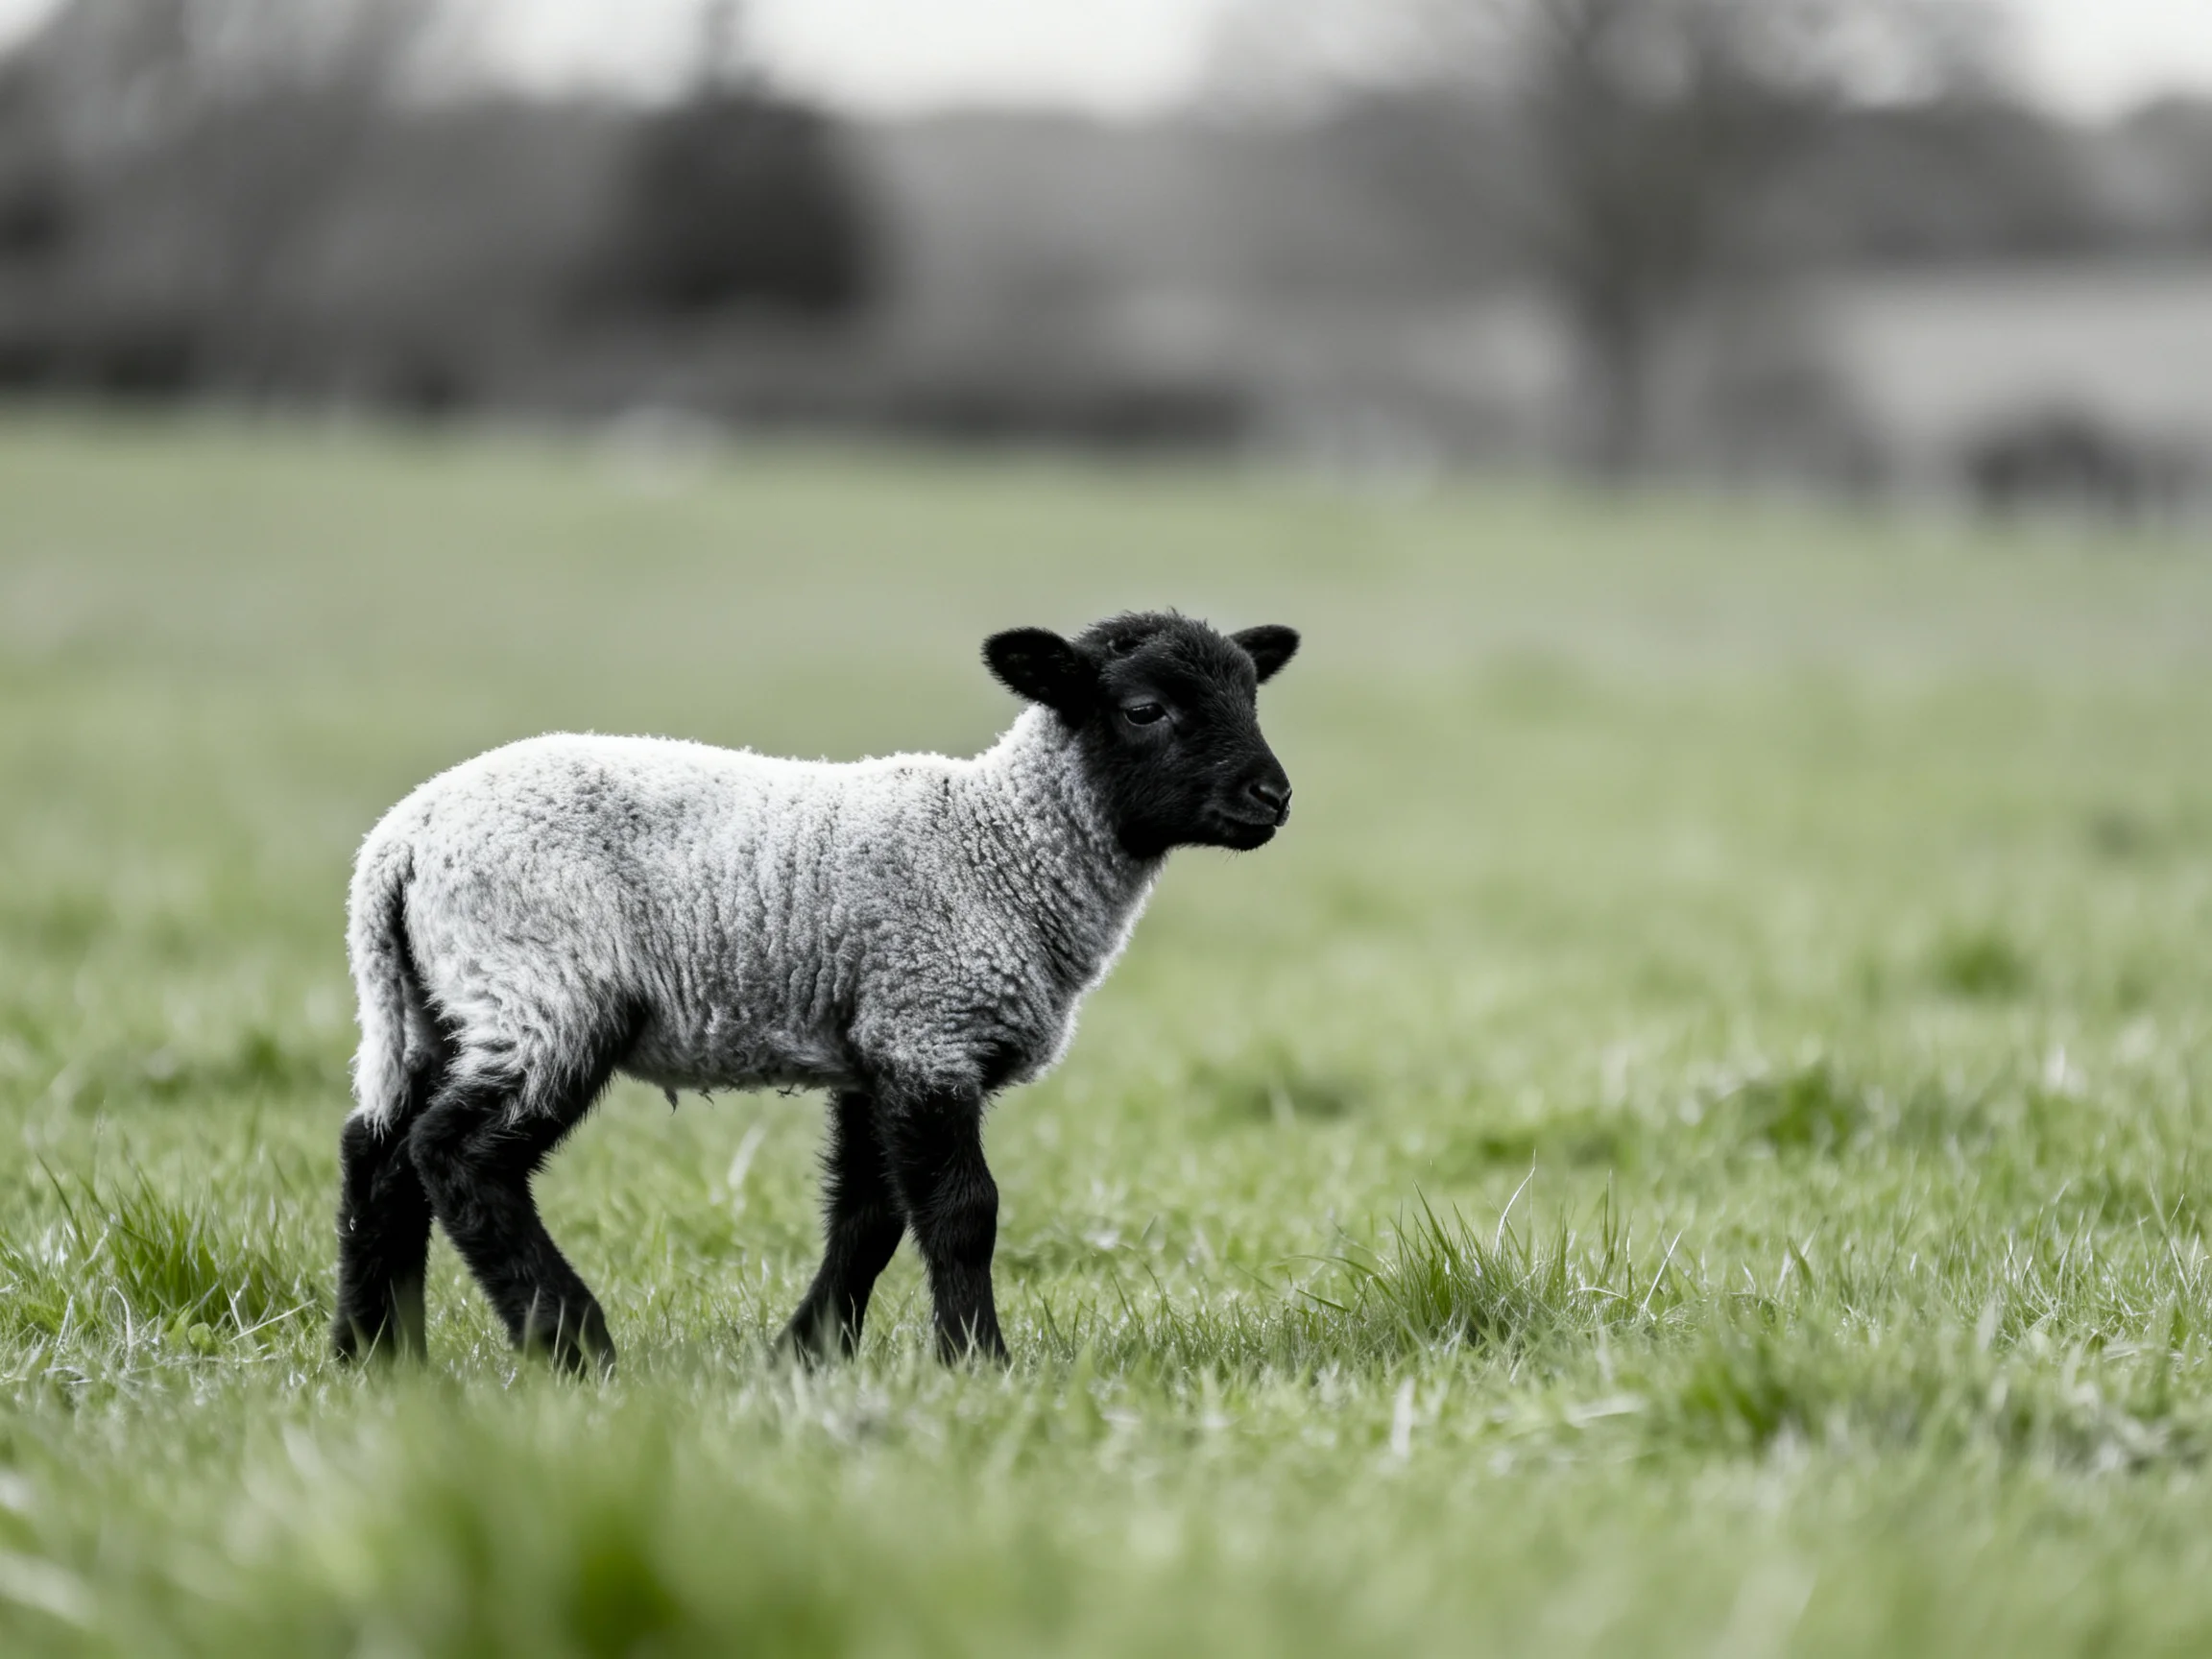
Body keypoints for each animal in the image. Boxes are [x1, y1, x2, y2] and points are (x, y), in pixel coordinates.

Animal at [333, 611, 1299, 1372]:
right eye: (1145, 710)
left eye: (1252, 697)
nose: (1273, 796)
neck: (1002, 844)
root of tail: (400, 839)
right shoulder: (926, 1024)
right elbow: (962, 1213)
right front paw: (977, 1362)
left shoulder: (877, 1042)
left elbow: (869, 1219)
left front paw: (807, 1354)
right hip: (546, 986)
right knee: (457, 1155)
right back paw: (571, 1342)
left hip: (444, 1002)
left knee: (379, 1156)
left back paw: (377, 1360)